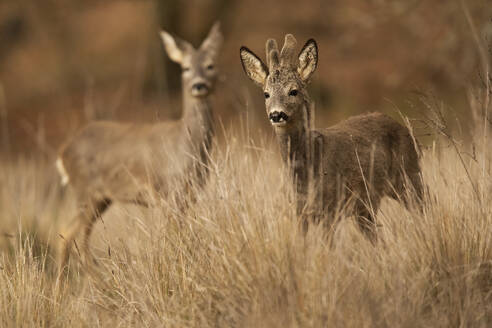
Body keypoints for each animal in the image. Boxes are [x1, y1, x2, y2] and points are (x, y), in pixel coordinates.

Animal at [56, 21, 223, 270]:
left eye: (210, 65)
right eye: (185, 68)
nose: (199, 85)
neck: (186, 147)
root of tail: (63, 152)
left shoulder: (188, 195)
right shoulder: (167, 193)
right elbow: (175, 237)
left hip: (101, 197)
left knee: (71, 237)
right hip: (85, 191)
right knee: (70, 236)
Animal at [239, 34, 422, 238]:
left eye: (293, 91)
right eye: (266, 94)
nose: (276, 115)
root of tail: (405, 129)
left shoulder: (331, 208)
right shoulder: (300, 212)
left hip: (410, 177)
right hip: (365, 208)